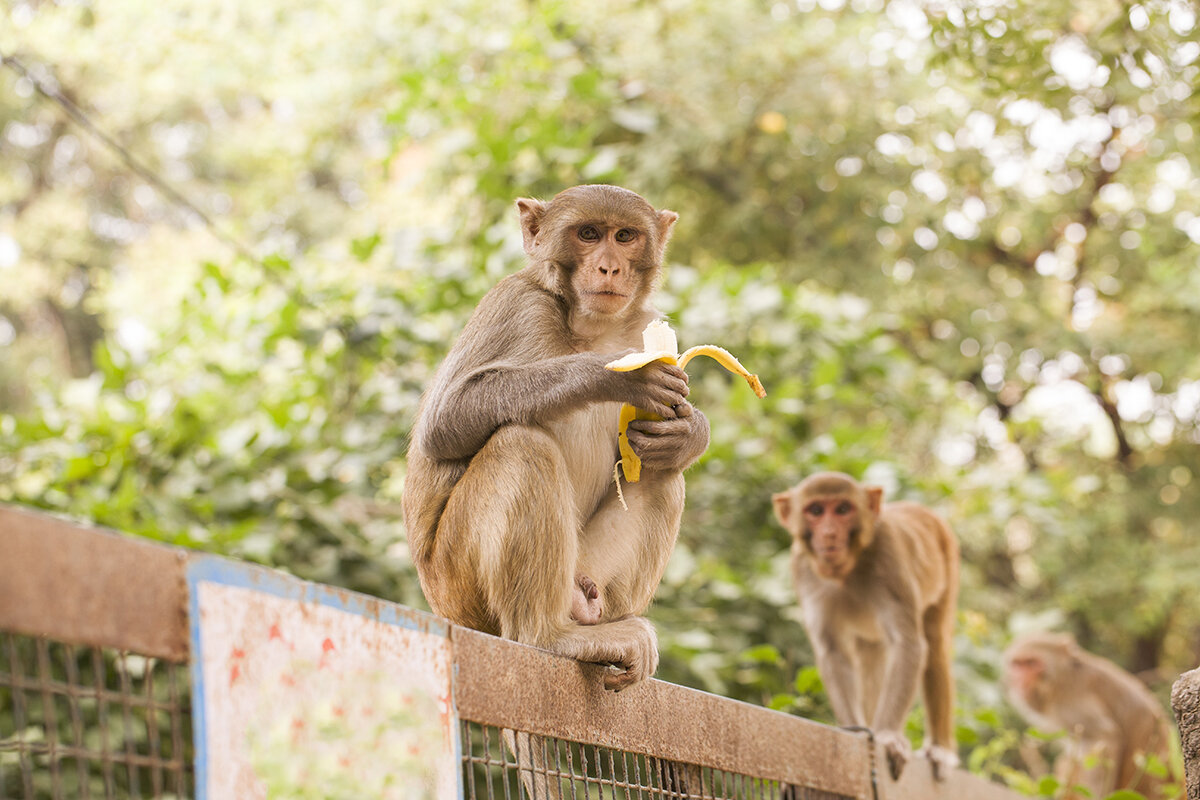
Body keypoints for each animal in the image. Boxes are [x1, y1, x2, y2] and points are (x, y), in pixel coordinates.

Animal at [400, 185, 710, 695]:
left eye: (625, 237)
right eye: (588, 234)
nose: (609, 268)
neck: (590, 329)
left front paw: (687, 432)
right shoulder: (515, 303)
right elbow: (444, 421)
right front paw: (615, 375)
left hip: (583, 571)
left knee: (663, 474)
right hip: (458, 582)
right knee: (521, 446)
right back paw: (549, 636)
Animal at [772, 472, 960, 777]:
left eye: (842, 509)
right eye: (816, 510)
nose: (829, 533)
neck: (847, 568)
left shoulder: (889, 555)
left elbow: (908, 644)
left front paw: (886, 735)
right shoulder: (802, 569)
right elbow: (833, 650)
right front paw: (858, 731)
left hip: (949, 564)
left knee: (934, 646)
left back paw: (941, 750)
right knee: (870, 654)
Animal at [1003, 633, 1171, 800]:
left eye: (1031, 663)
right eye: (1018, 664)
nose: (1019, 679)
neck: (1058, 679)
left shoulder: (1069, 704)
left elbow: (1105, 738)